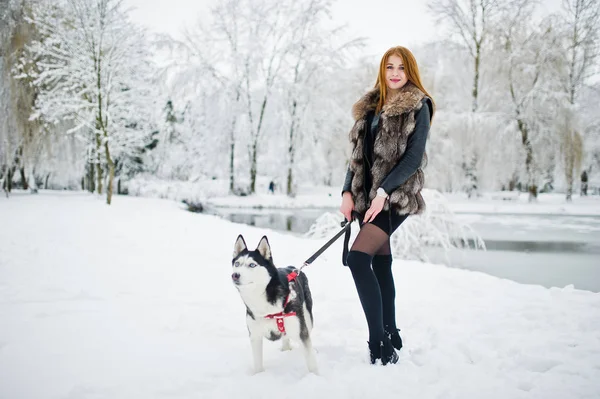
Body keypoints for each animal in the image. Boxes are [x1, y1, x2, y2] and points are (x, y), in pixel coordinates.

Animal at [232, 234, 318, 376]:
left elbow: (311, 362)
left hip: (307, 319)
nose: (235, 275)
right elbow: (258, 364)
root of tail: (294, 268)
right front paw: (258, 375)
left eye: (252, 265)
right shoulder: (255, 335)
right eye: (237, 264)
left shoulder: (301, 331)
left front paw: (315, 377)